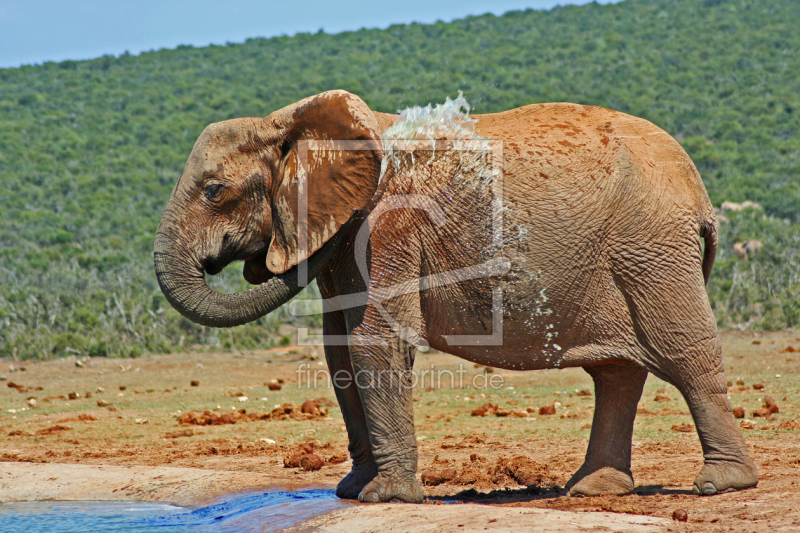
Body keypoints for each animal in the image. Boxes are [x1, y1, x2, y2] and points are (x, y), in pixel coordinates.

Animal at [155, 89, 756, 500]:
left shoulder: (388, 226)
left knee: (684, 353)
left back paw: (721, 484)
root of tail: (699, 193)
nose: (257, 263)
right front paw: (351, 491)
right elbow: (339, 350)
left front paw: (384, 498)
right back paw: (591, 489)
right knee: (616, 372)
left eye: (214, 191)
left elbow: (374, 342)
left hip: (651, 249)